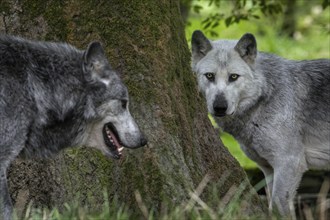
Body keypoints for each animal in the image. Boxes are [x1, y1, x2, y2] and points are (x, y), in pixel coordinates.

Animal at [191, 30, 330, 216]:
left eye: (233, 77)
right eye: (209, 76)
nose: (220, 107)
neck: (266, 96)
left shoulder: (289, 163)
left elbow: (278, 207)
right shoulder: (268, 168)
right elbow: (272, 206)